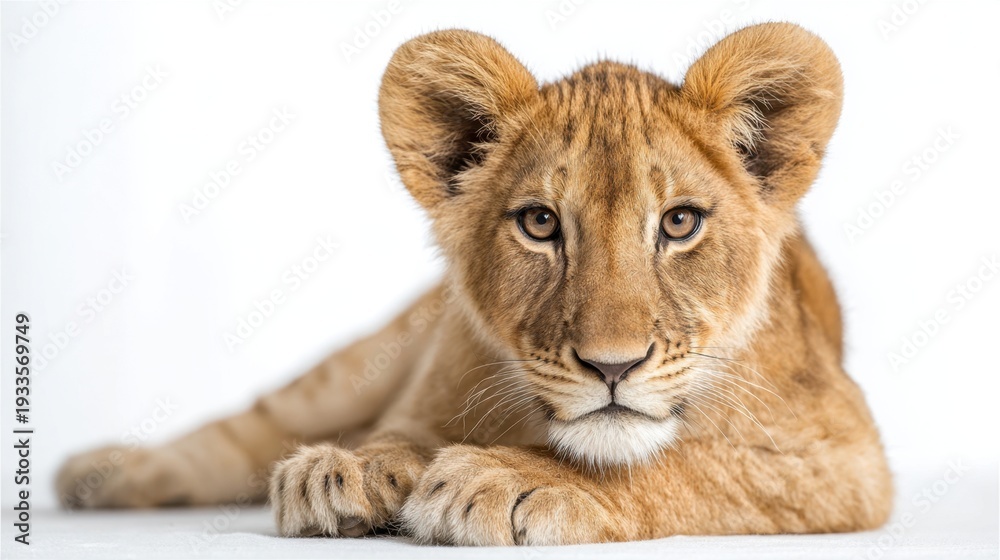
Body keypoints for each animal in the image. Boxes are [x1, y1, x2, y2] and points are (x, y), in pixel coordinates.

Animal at [56, 23, 893, 545]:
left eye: (680, 223)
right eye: (541, 223)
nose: (613, 367)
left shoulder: (846, 458)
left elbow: (684, 462)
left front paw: (503, 479)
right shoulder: (421, 388)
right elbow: (393, 430)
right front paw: (348, 470)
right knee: (257, 421)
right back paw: (103, 473)